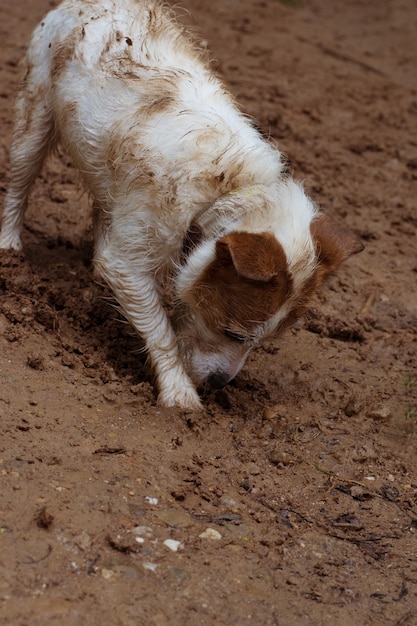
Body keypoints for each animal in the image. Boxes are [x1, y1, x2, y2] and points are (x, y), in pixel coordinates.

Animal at [0, 0, 360, 408]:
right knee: (20, 184)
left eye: (263, 341)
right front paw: (180, 393)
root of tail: (85, 4)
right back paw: (10, 247)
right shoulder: (131, 262)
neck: (226, 193)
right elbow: (160, 330)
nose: (220, 384)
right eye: (234, 333)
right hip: (34, 116)